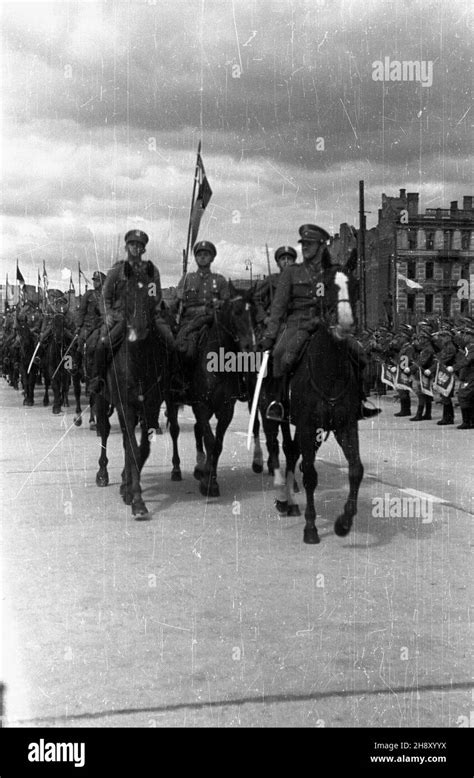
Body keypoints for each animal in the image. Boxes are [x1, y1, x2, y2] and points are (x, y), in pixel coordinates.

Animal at [94, 264, 180, 520]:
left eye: (151, 294)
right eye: (126, 294)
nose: (137, 334)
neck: (138, 360)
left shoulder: (150, 406)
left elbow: (142, 448)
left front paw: (128, 488)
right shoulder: (125, 406)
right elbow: (132, 447)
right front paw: (137, 500)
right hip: (101, 399)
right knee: (104, 431)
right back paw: (103, 473)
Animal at [284, 270, 364, 544]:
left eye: (355, 285)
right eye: (326, 286)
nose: (346, 323)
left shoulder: (346, 426)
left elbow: (356, 470)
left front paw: (344, 523)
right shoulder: (308, 426)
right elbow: (310, 475)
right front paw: (311, 528)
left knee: (293, 454)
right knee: (289, 453)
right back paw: (286, 501)